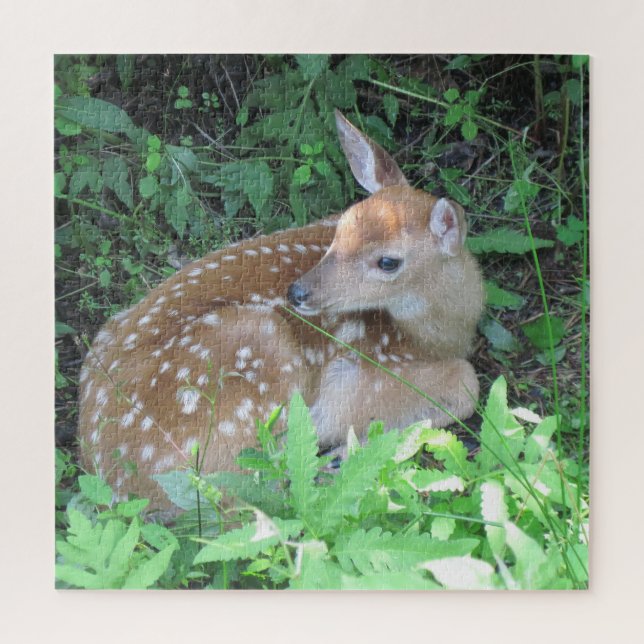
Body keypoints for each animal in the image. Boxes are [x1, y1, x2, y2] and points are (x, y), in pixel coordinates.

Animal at [78, 110, 484, 510]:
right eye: (341, 227)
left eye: (388, 261)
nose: (299, 291)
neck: (437, 335)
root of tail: (114, 484)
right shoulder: (364, 369)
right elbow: (467, 383)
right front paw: (352, 450)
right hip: (257, 358)